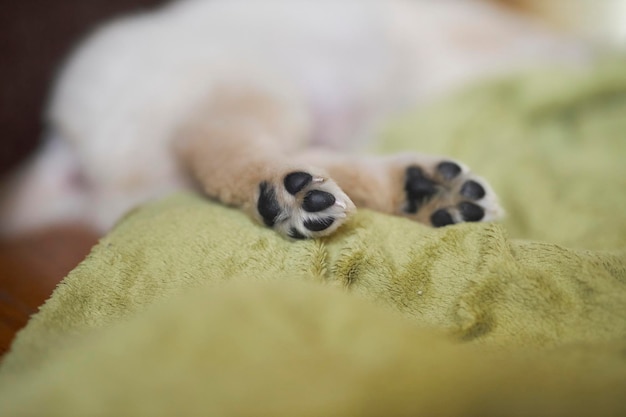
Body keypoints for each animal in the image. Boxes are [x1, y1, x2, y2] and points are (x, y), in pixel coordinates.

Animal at [0, 0, 588, 237]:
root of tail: (70, 143)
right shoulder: (463, 31)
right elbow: (536, 44)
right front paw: (587, 50)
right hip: (248, 89)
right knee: (220, 150)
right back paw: (285, 196)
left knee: (311, 161)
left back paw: (422, 190)